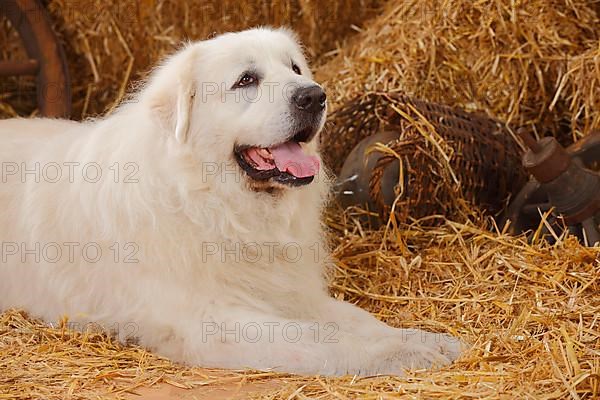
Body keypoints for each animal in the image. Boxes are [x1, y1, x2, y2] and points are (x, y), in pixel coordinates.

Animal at [0, 27, 462, 376]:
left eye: (295, 69)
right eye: (246, 81)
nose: (314, 95)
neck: (211, 203)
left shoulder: (292, 294)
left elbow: (356, 319)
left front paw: (425, 339)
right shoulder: (212, 320)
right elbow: (321, 337)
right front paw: (400, 354)